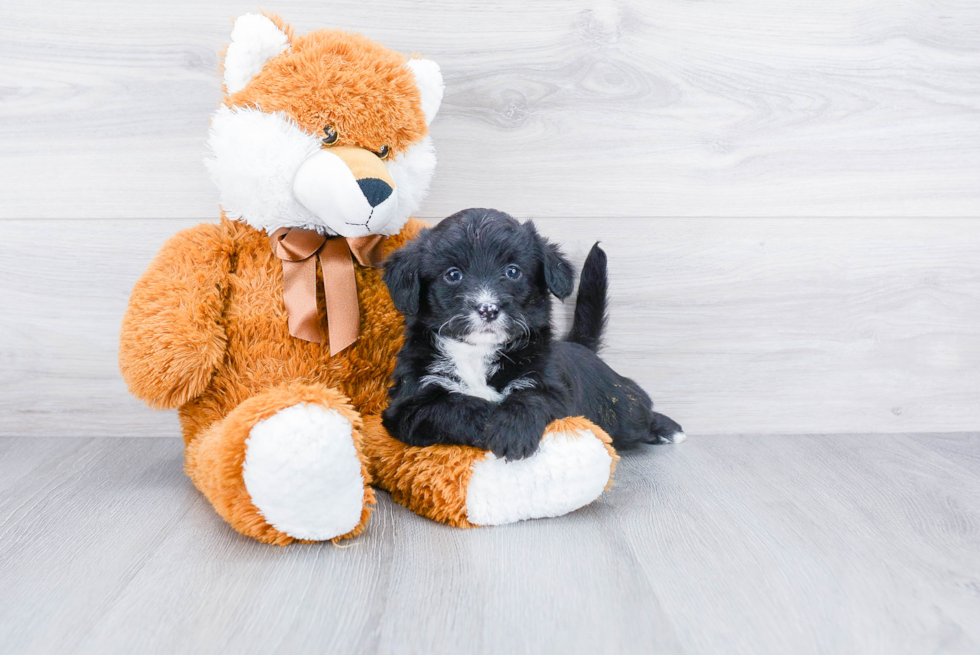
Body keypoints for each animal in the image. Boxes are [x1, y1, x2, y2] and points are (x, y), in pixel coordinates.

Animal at [378, 210, 684, 462]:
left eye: (512, 271)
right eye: (453, 275)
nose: (488, 308)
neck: (478, 351)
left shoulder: (553, 387)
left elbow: (531, 398)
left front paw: (512, 432)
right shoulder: (408, 405)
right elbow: (457, 405)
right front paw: (493, 421)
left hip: (621, 406)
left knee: (638, 410)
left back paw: (667, 429)